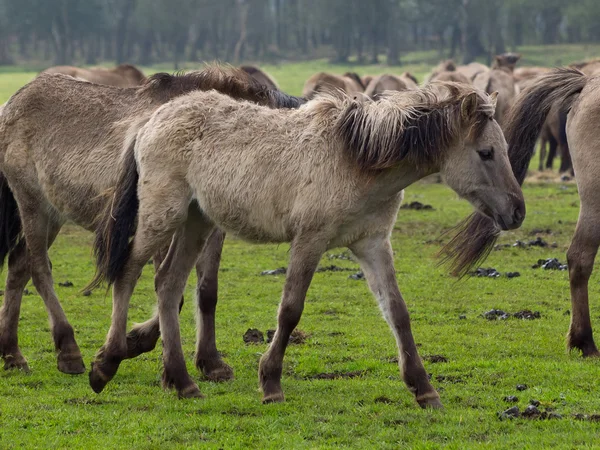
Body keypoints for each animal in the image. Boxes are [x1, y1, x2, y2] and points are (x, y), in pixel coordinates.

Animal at [0, 66, 304, 376]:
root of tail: (12, 103)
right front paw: (135, 342)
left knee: (19, 267)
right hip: (33, 205)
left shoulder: (211, 227)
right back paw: (68, 351)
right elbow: (171, 290)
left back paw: (13, 355)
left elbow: (207, 292)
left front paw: (210, 362)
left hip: (53, 215)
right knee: (39, 268)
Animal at [90, 81, 524, 404]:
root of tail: (152, 119)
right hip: (163, 216)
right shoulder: (309, 242)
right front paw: (270, 383)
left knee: (168, 283)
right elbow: (290, 311)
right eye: (486, 153)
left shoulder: (372, 244)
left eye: (504, 149)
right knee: (129, 271)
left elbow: (397, 312)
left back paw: (181, 381)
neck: (356, 159)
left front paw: (424, 388)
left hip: (197, 221)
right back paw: (107, 363)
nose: (517, 212)